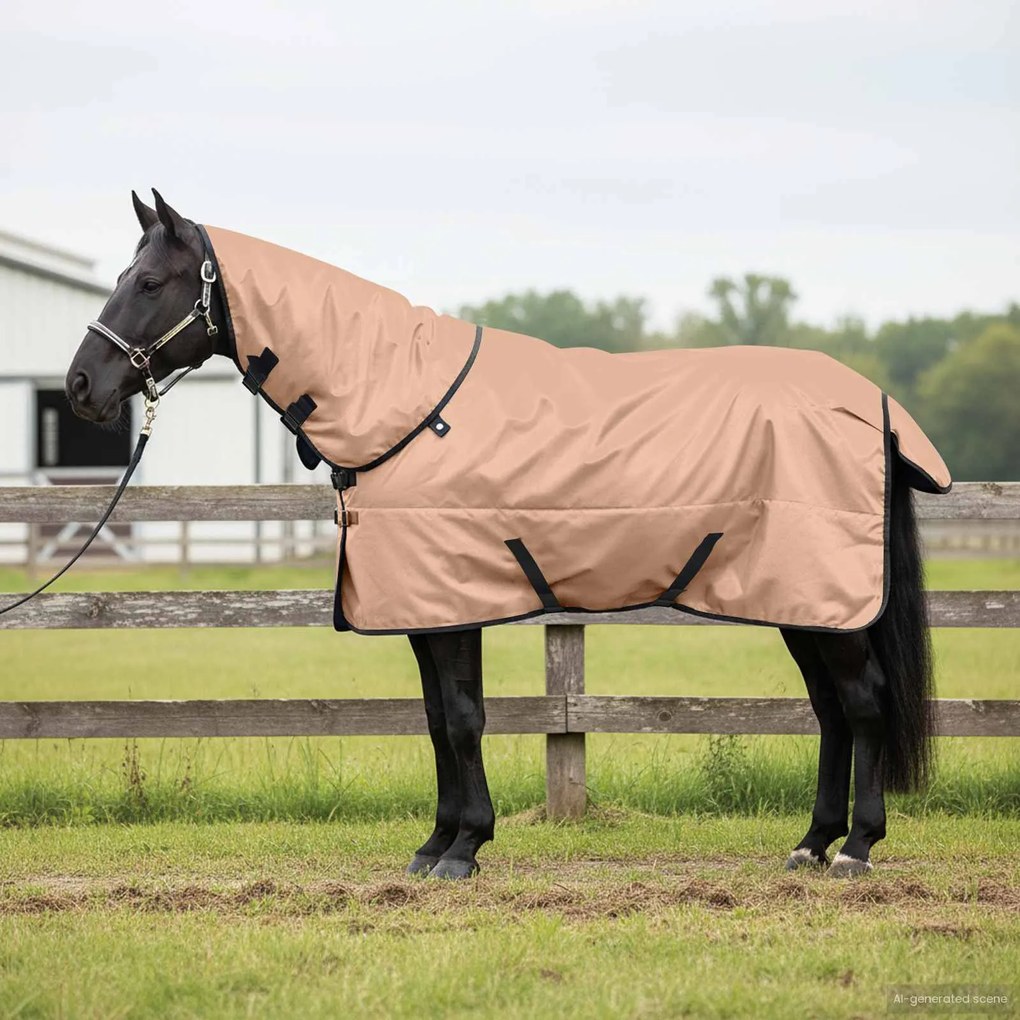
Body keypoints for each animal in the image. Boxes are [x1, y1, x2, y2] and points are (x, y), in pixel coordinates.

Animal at [65, 190, 942, 880]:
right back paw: (811, 843)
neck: (403, 405)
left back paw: (855, 849)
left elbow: (461, 718)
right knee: (831, 711)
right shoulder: (422, 608)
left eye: (149, 282)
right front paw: (434, 845)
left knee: (862, 704)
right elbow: (434, 720)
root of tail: (872, 403)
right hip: (804, 604)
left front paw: (463, 850)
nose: (80, 386)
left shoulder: (452, 603)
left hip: (828, 602)